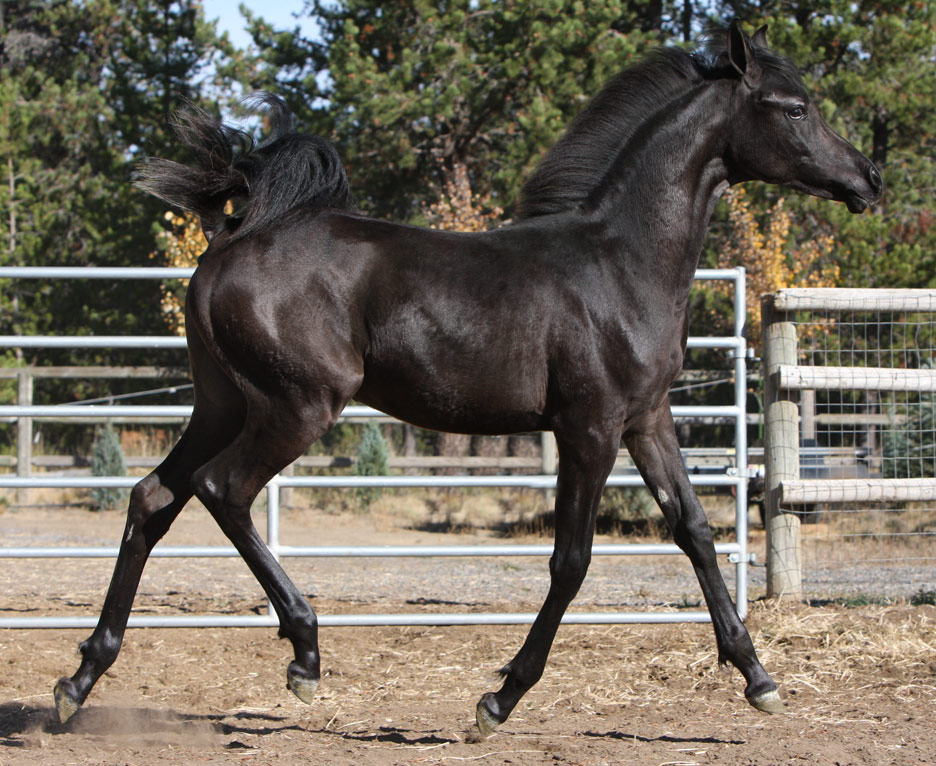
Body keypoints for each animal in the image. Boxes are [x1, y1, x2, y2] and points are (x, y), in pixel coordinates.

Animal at [54, 21, 880, 736]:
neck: (621, 261)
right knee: (223, 490)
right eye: (795, 105)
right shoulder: (588, 427)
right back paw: (305, 655)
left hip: (222, 405)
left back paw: (79, 679)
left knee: (153, 499)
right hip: (298, 406)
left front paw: (759, 679)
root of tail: (231, 240)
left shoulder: (645, 420)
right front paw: (498, 700)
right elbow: (572, 561)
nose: (867, 178)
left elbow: (696, 532)